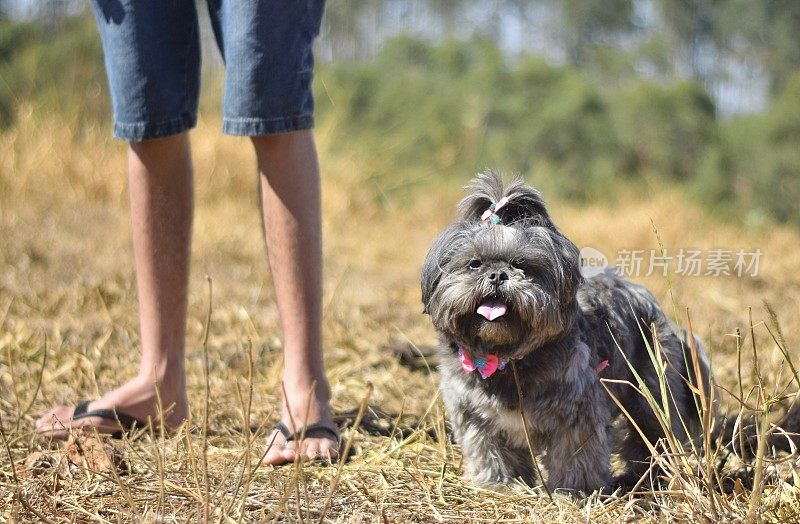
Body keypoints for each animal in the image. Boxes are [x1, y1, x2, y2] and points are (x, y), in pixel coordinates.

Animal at [418, 171, 712, 492]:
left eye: (522, 265)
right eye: (474, 264)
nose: (497, 274)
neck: (508, 358)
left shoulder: (576, 414)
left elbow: (575, 455)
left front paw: (575, 490)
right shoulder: (476, 416)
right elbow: (490, 451)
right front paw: (499, 484)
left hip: (651, 393)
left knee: (653, 434)